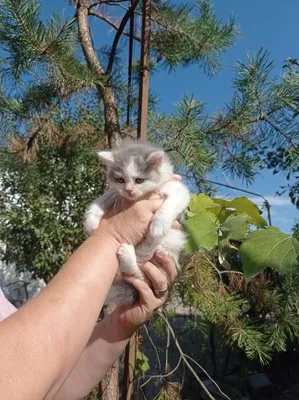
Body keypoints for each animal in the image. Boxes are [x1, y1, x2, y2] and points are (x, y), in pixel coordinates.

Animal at [84, 139, 190, 304]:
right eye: (120, 180)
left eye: (139, 180)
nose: (128, 190)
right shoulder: (116, 192)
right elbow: (105, 197)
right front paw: (91, 218)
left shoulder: (177, 189)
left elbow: (169, 205)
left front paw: (158, 225)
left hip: (170, 242)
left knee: (143, 268)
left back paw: (131, 253)